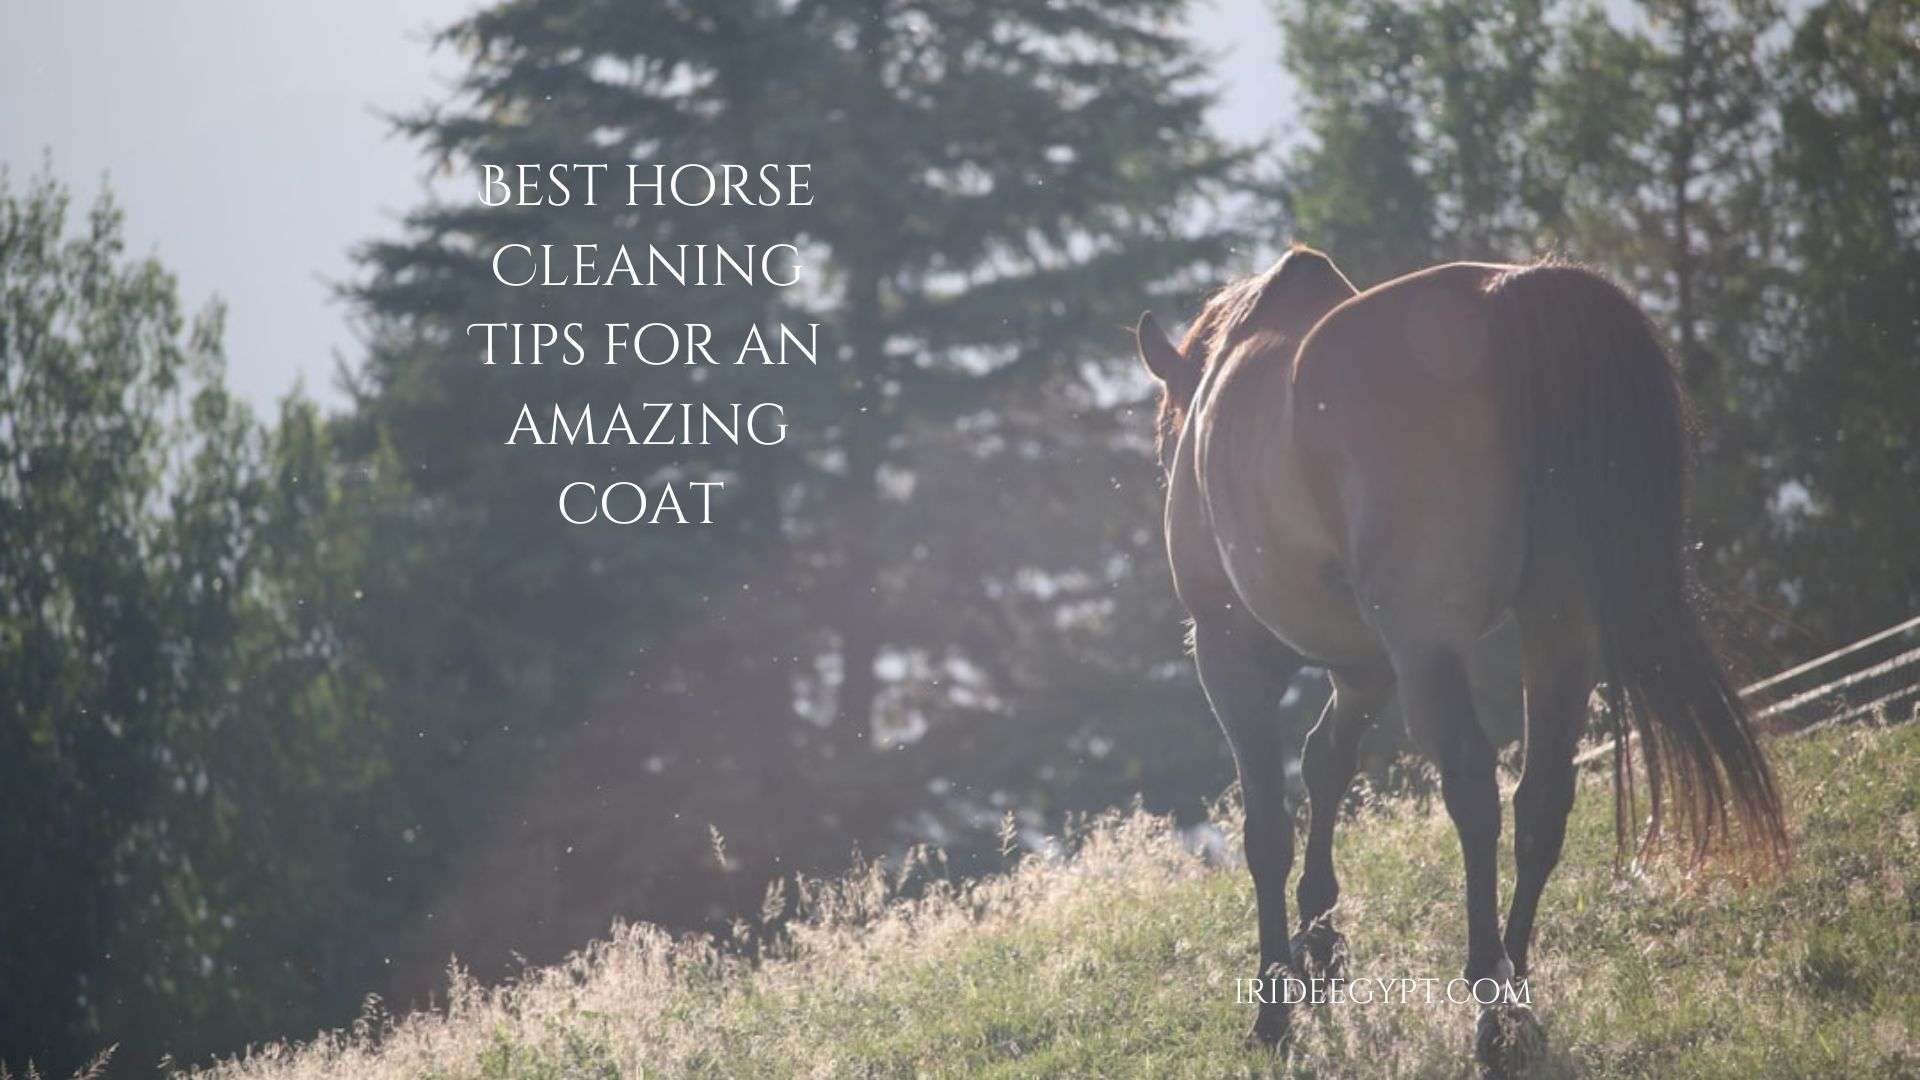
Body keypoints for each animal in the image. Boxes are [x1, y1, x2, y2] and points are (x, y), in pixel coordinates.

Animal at [1136, 245, 1781, 1068]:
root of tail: (1510, 296)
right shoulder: (1367, 668)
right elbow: (1325, 764)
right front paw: (1320, 951)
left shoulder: (1232, 656)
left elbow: (1267, 831)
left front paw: (1277, 1005)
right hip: (1558, 630)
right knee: (1541, 798)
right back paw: (1514, 986)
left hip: (1429, 646)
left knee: (1474, 791)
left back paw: (1489, 1006)